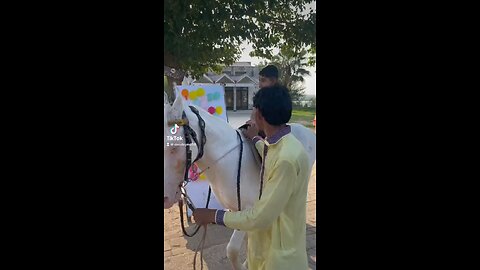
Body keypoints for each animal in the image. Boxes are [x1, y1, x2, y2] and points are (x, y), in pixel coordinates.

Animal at [163, 93, 316, 270]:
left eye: (174, 147)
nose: (165, 198)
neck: (227, 161)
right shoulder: (235, 210)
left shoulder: (250, 209)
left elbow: (233, 249)